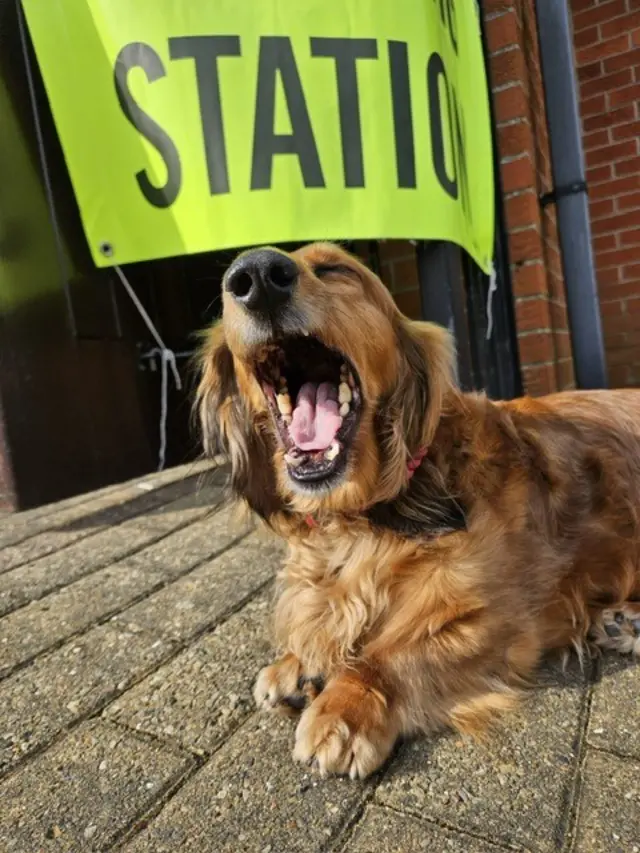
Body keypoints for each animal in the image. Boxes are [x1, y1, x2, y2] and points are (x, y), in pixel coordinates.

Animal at [196, 240, 640, 780]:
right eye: (231, 288)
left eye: (336, 269)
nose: (257, 274)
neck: (360, 518)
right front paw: (297, 663)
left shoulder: (506, 614)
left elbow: (394, 651)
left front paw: (346, 706)